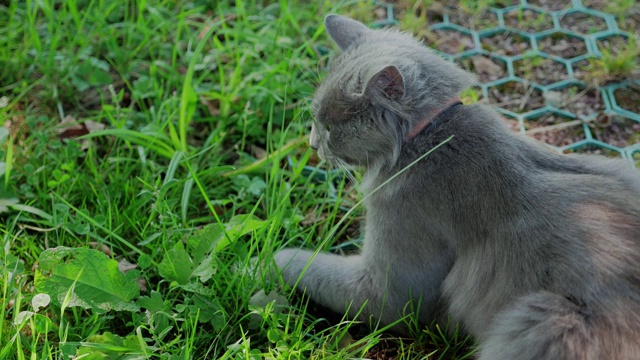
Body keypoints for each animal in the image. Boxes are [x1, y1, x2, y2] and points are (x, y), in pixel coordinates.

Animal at [274, 14, 640, 360]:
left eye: (328, 127)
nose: (311, 144)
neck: (429, 135)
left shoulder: (386, 285)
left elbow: (310, 267)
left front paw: (271, 258)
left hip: (539, 321)